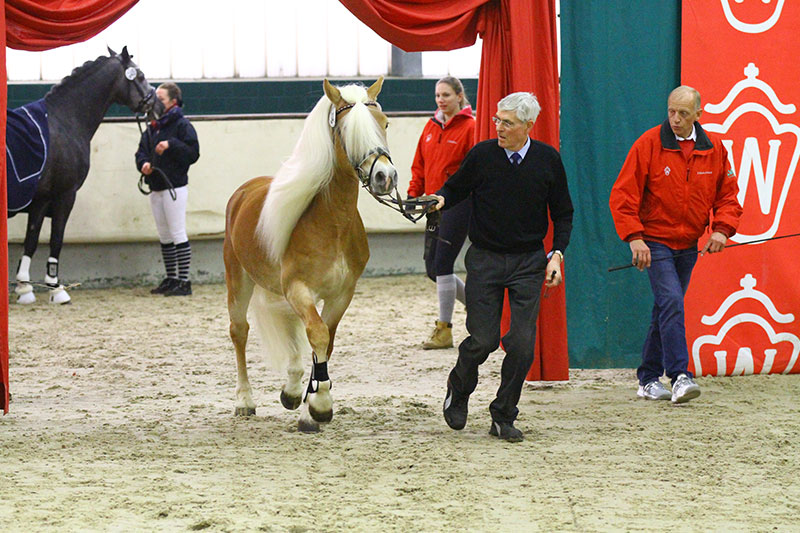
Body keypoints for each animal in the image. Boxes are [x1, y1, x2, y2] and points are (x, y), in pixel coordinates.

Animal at [9, 46, 161, 305]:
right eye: (140, 76)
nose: (158, 106)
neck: (64, 120)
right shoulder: (64, 195)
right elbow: (56, 238)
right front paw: (56, 288)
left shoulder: (42, 199)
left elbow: (31, 240)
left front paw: (24, 288)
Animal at [223, 77, 398, 432]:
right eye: (347, 131)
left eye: (385, 123)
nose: (385, 177)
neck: (332, 223)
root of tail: (243, 193)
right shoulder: (298, 289)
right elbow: (316, 334)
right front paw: (319, 405)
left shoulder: (341, 294)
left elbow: (325, 340)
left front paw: (309, 406)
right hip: (239, 280)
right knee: (240, 332)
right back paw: (245, 400)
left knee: (292, 331)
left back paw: (291, 389)